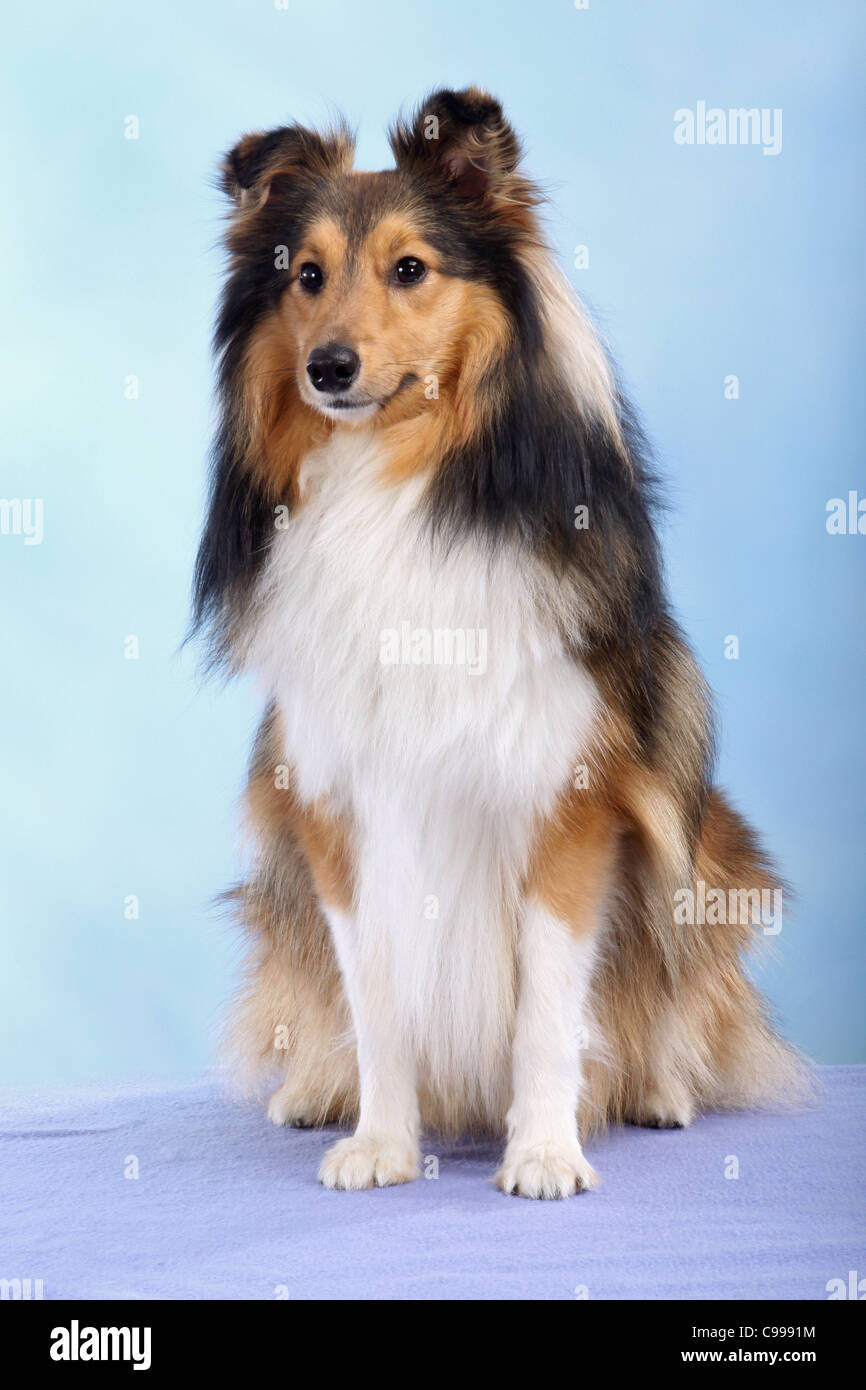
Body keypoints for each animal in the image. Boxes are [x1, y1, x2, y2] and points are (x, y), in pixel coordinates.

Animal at [193, 89, 800, 1195]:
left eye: (409, 268)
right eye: (306, 275)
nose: (327, 368)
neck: (392, 486)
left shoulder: (566, 799)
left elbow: (548, 1011)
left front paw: (545, 1149)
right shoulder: (337, 804)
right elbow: (375, 999)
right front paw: (383, 1143)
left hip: (710, 850)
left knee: (681, 991)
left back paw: (660, 1090)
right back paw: (315, 1089)